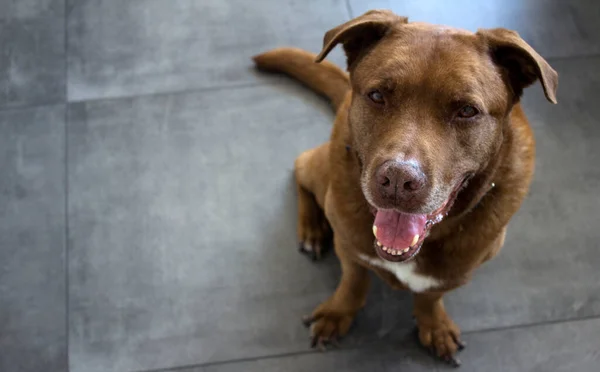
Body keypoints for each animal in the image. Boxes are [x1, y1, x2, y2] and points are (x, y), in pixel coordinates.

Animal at [252, 8, 556, 366]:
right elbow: (353, 282)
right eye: (377, 95)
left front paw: (434, 324)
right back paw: (312, 229)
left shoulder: (455, 273)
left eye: (467, 111)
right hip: (323, 172)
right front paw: (337, 313)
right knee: (301, 167)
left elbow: (430, 296)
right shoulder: (348, 246)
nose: (398, 179)